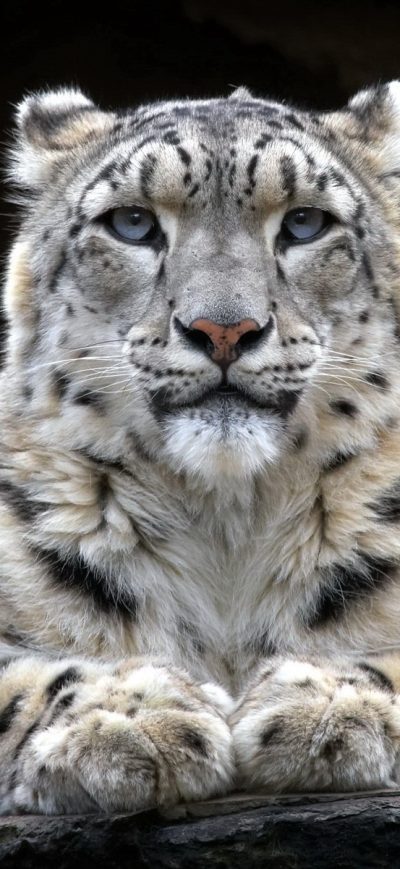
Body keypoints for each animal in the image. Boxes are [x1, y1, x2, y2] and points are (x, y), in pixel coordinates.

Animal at [1, 80, 400, 814]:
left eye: (305, 223)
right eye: (132, 223)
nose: (223, 329)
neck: (226, 527)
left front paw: (325, 698)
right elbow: (20, 676)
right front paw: (133, 712)